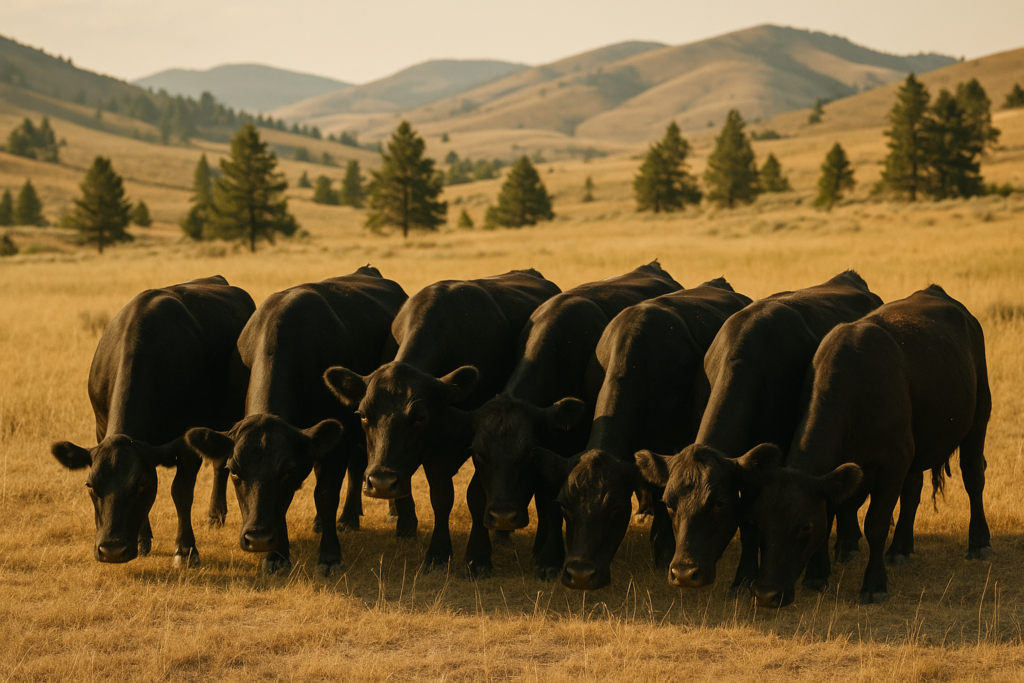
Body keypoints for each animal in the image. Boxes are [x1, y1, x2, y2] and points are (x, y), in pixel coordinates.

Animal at [51, 275, 255, 567]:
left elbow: (181, 492)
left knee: (220, 463)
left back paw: (215, 514)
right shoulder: (102, 428)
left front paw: (186, 549)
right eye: (90, 485)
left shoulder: (187, 442)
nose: (112, 550)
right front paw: (142, 539)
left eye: (141, 484)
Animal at [184, 266, 409, 575]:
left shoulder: (337, 443)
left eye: (287, 469)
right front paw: (276, 555)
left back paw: (365, 516)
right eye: (235, 471)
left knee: (360, 467)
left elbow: (325, 494)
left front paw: (329, 555)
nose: (257, 538)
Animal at [324, 269, 560, 577]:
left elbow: (476, 495)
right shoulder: (434, 454)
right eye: (363, 414)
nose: (382, 483)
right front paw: (435, 551)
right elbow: (441, 497)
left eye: (420, 417)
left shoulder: (478, 445)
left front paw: (477, 557)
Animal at [738, 285, 992, 607]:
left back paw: (979, 542)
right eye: (759, 522)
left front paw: (874, 584)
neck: (857, 391)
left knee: (973, 476)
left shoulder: (893, 461)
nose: (766, 594)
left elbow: (876, 523)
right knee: (913, 491)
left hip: (978, 419)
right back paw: (900, 549)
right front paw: (817, 574)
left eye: (804, 526)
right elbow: (834, 509)